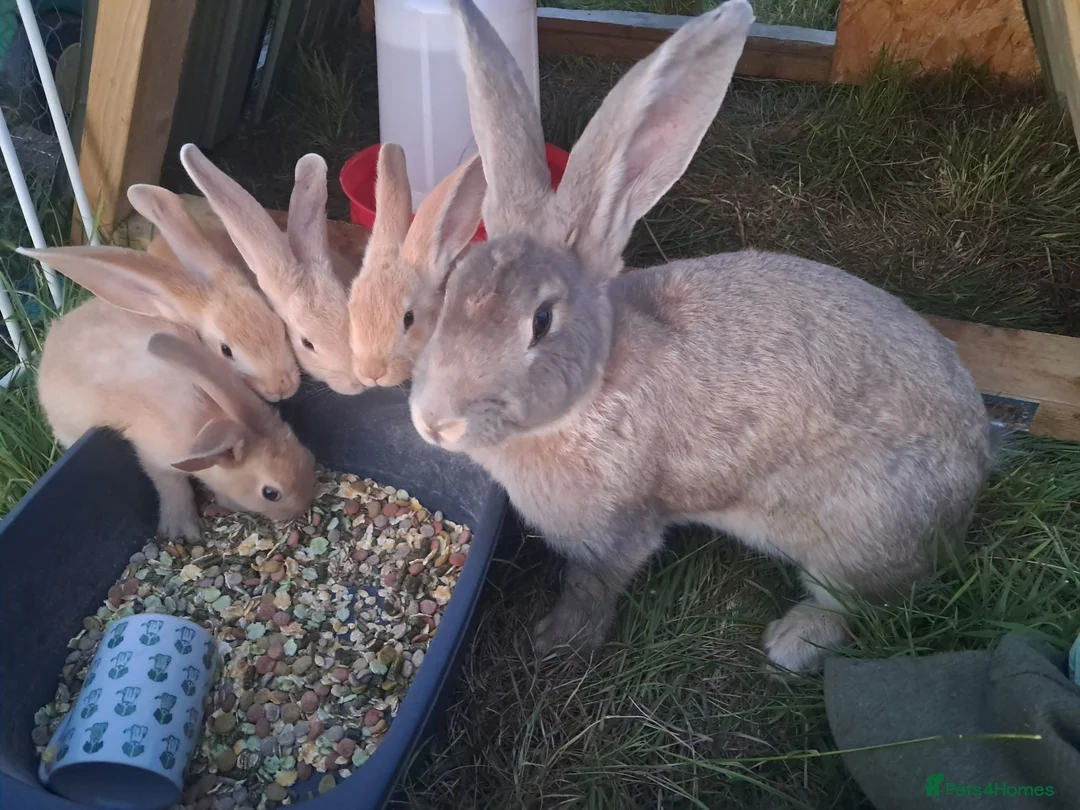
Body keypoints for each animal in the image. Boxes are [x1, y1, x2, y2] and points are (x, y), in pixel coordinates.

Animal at [32, 299, 315, 540]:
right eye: (271, 493)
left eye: (307, 455)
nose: (302, 507)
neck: (206, 420)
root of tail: (54, 337)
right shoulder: (155, 459)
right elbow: (174, 489)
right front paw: (181, 530)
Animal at [406, 0, 995, 673]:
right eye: (452, 289)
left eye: (541, 321)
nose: (434, 422)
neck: (594, 386)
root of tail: (975, 476)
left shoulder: (616, 534)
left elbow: (591, 586)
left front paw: (557, 641)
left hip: (856, 539)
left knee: (862, 604)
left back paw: (792, 642)